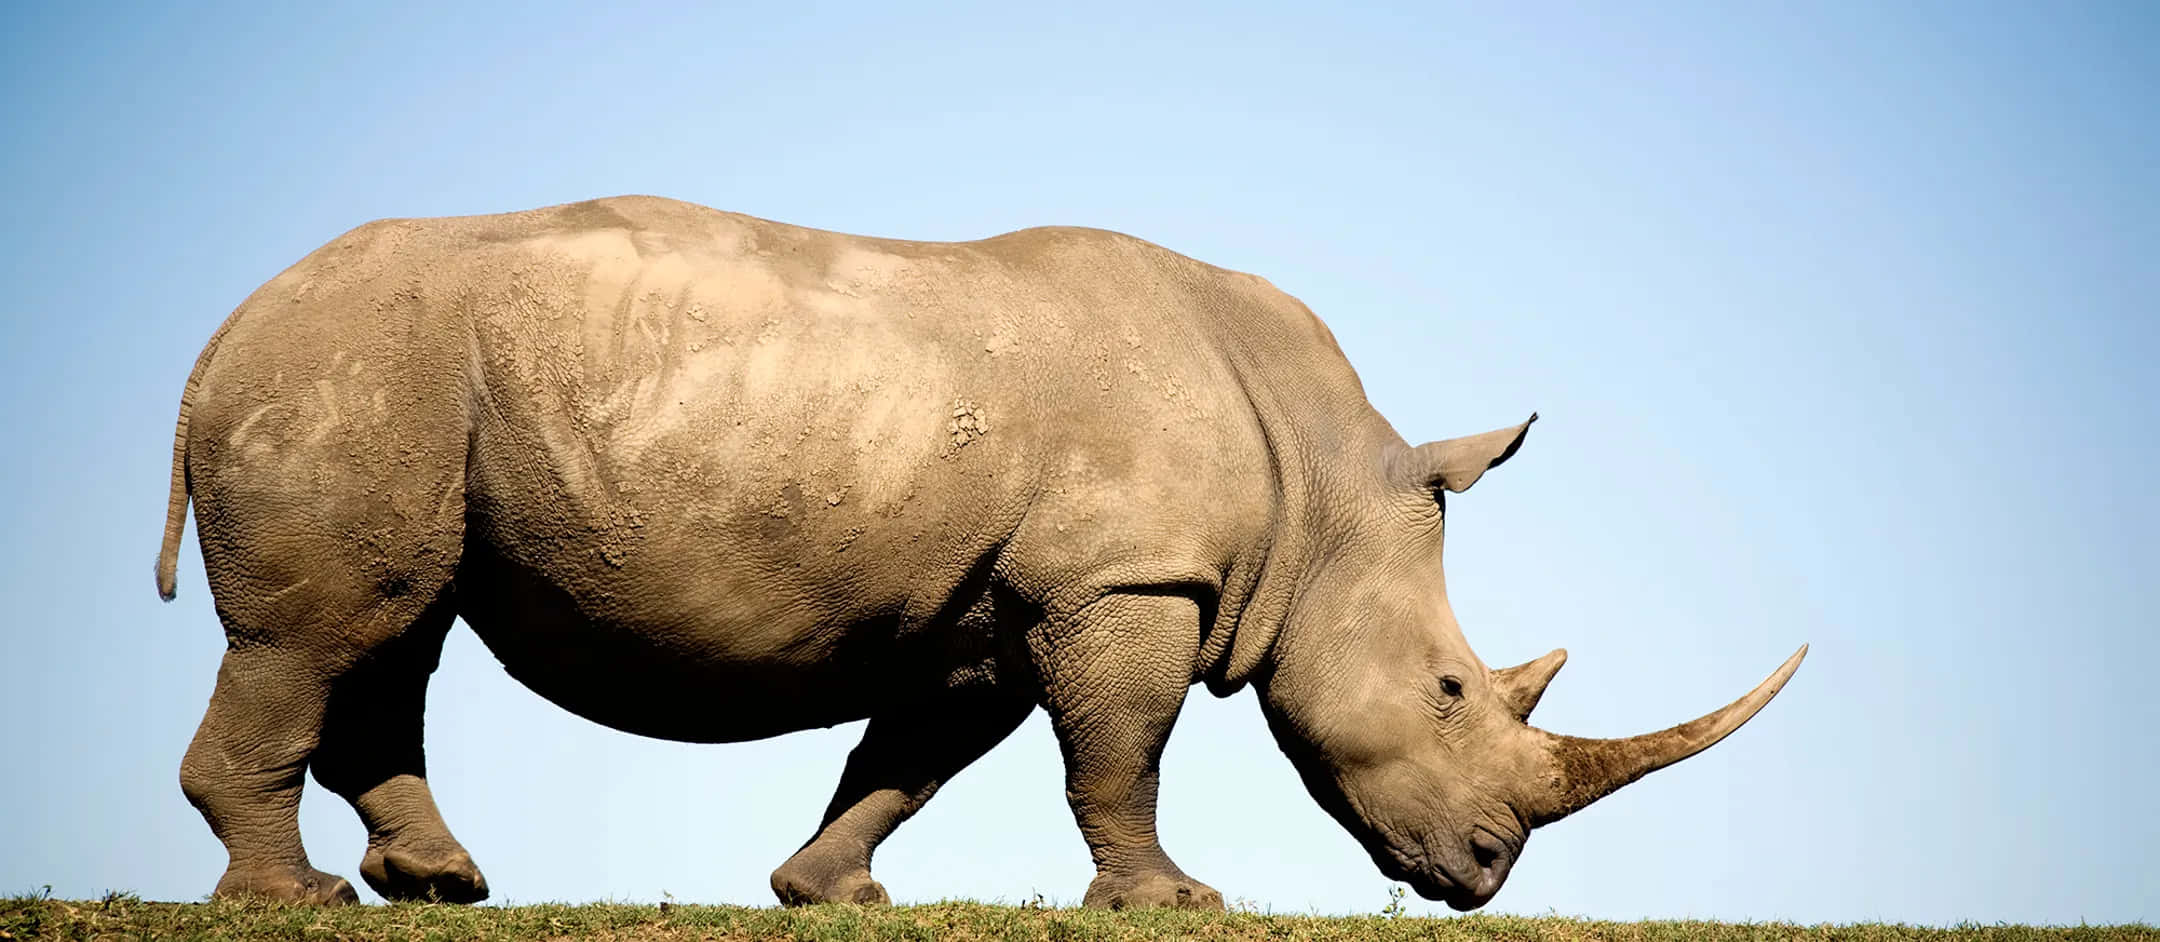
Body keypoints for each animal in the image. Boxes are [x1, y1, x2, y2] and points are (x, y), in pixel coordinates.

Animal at [155, 195, 1803, 911]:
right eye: (1457, 691)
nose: (1484, 873)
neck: (1325, 487)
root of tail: (220, 334)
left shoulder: (998, 603)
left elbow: (914, 754)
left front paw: (826, 890)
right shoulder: (1127, 577)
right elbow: (1120, 758)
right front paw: (1173, 902)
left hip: (395, 387)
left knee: (394, 627)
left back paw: (435, 883)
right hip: (352, 372)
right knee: (318, 634)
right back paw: (298, 899)